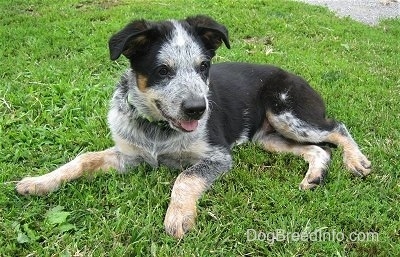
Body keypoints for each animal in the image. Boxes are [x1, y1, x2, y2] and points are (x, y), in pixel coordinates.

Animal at [16, 15, 372, 237]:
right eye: (162, 70)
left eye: (203, 66)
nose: (199, 110)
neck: (158, 131)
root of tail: (299, 77)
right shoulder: (129, 156)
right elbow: (83, 159)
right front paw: (38, 182)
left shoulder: (219, 157)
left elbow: (185, 178)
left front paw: (178, 217)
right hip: (268, 137)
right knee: (318, 150)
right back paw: (314, 176)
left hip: (288, 114)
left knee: (337, 128)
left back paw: (356, 162)